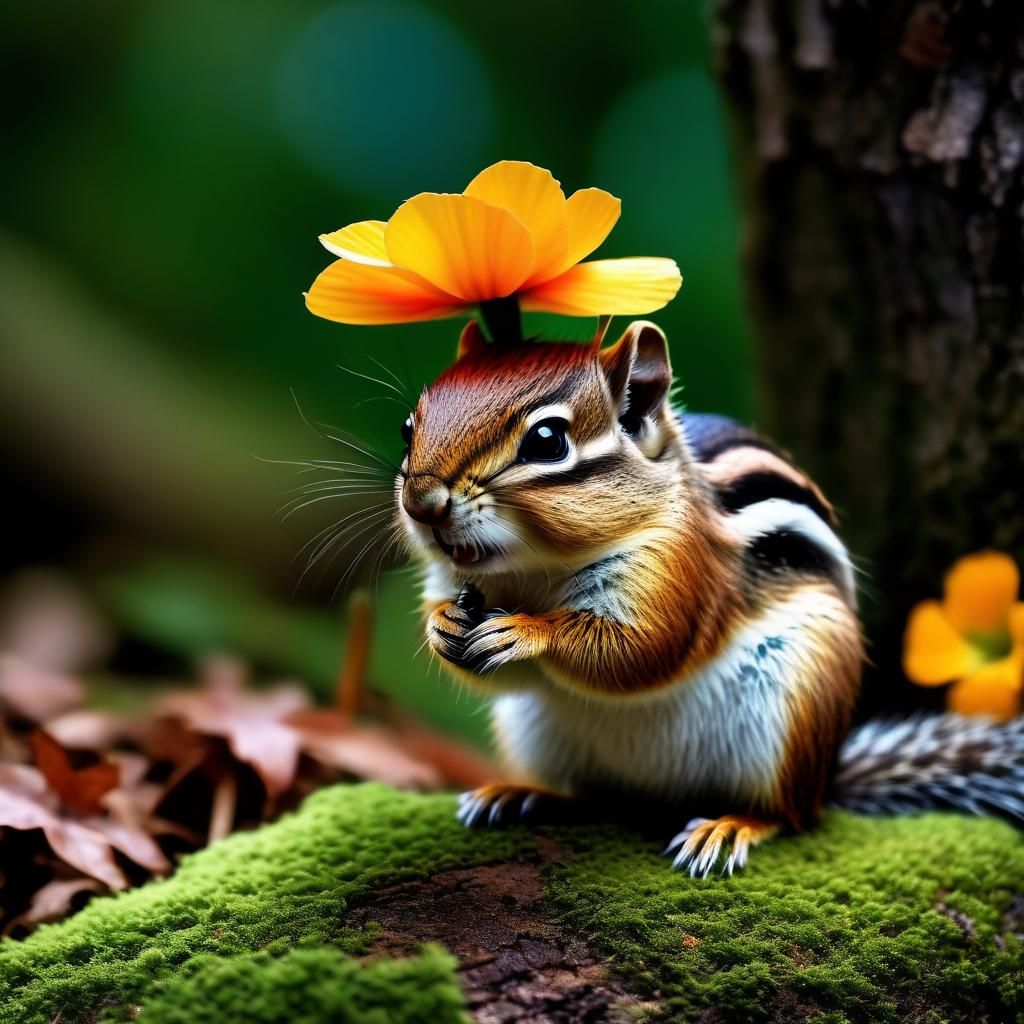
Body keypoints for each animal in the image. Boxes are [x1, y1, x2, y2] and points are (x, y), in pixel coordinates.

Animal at [396, 318, 1024, 876]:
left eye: (547, 441)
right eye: (409, 428)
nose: (422, 504)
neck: (534, 572)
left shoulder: (679, 571)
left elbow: (641, 650)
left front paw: (527, 630)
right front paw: (440, 626)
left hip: (798, 701)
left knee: (790, 816)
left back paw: (731, 826)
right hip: (536, 731)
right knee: (592, 796)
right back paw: (526, 794)